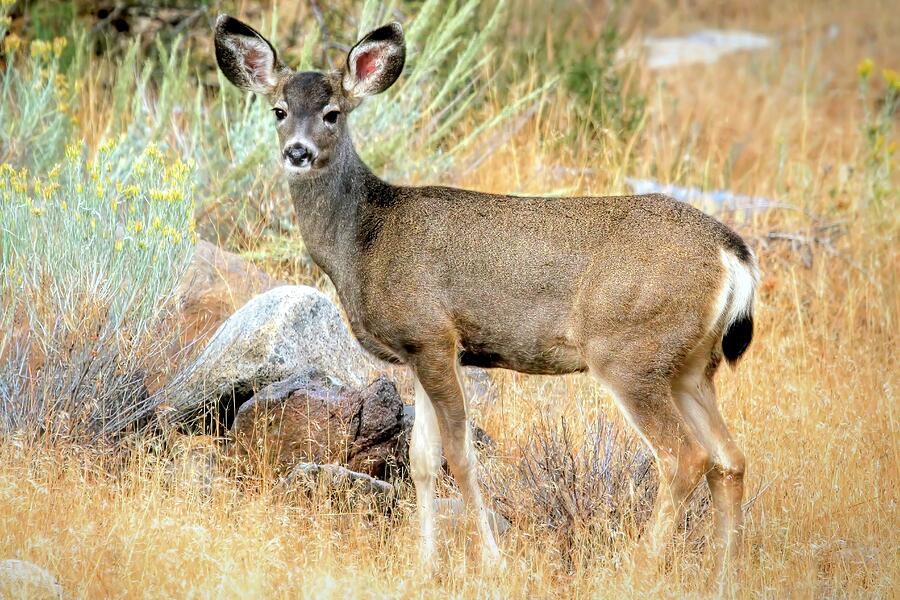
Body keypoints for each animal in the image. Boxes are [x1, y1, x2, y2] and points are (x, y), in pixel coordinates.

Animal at [214, 12, 756, 576]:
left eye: (332, 113)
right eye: (278, 110)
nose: (297, 152)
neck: (365, 239)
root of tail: (732, 253)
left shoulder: (432, 333)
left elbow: (460, 455)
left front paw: (493, 560)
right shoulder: (422, 350)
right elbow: (422, 460)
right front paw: (425, 561)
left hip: (630, 353)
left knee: (684, 457)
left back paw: (641, 567)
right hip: (691, 365)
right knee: (730, 459)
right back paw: (725, 573)